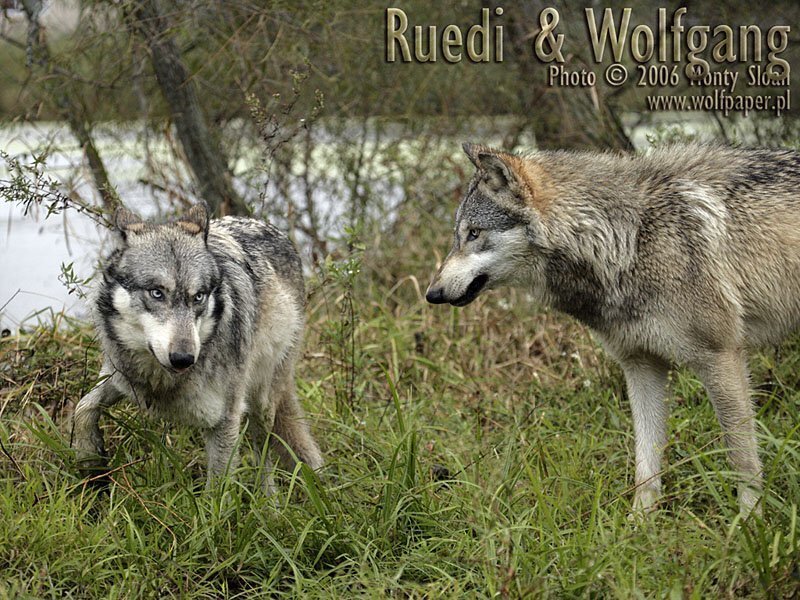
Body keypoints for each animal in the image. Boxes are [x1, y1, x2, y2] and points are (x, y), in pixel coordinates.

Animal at [72, 203, 323, 489]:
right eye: (157, 293)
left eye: (199, 297)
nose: (183, 358)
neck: (162, 379)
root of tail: (276, 232)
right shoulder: (120, 377)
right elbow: (83, 407)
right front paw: (90, 460)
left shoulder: (225, 420)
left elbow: (216, 491)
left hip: (261, 400)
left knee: (264, 456)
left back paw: (269, 500)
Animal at [427, 142, 800, 517]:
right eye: (458, 235)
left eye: (474, 233)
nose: (432, 294)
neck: (628, 240)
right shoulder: (641, 365)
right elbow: (646, 464)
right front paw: (640, 521)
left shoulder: (721, 357)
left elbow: (741, 457)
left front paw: (750, 520)